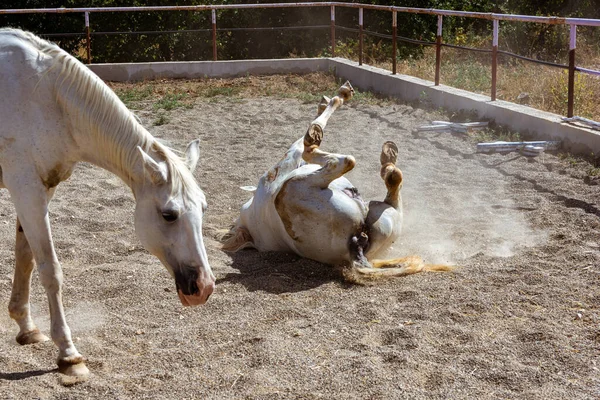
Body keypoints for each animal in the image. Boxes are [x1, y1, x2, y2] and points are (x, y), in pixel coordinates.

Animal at [0, 28, 214, 378]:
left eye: (204, 209)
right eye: (169, 214)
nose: (205, 287)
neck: (44, 96)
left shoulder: (40, 189)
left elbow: (26, 257)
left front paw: (26, 328)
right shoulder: (25, 187)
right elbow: (50, 269)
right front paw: (68, 354)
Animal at [224, 81, 450, 282]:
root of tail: (354, 251)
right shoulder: (289, 159)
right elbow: (305, 142)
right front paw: (338, 97)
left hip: (383, 219)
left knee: (390, 188)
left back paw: (388, 158)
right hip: (306, 187)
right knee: (330, 155)